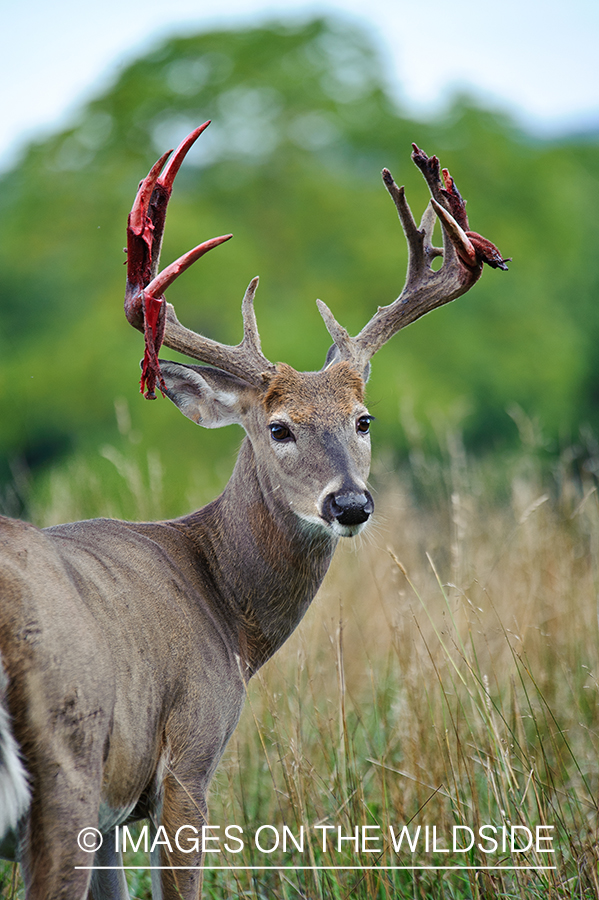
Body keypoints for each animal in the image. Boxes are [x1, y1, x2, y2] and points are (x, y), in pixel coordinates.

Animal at [0, 121, 507, 899]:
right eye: (279, 428)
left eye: (364, 419)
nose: (350, 503)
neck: (227, 611)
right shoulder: (188, 755)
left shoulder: (114, 814)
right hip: (65, 766)